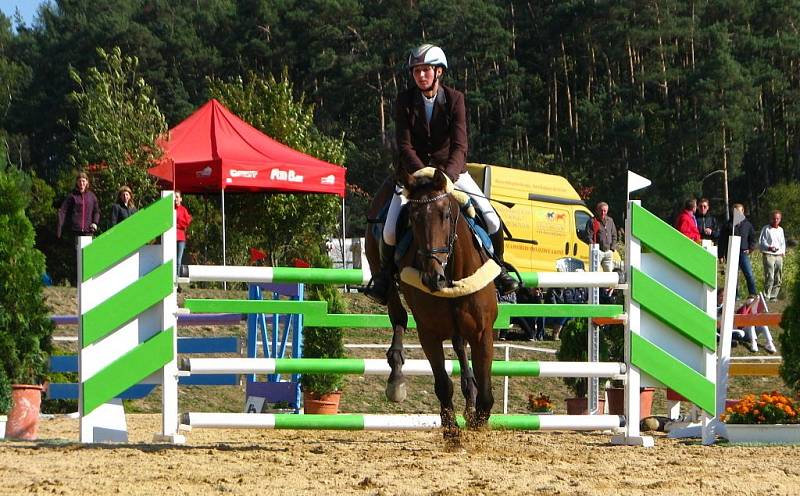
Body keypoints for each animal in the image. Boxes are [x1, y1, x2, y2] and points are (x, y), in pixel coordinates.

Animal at [366, 168, 496, 438]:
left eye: (446, 214)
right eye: (412, 219)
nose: (431, 278)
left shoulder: (482, 332)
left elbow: (487, 396)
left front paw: (476, 425)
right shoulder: (429, 334)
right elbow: (443, 385)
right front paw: (452, 434)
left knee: (459, 346)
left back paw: (469, 394)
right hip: (383, 275)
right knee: (398, 317)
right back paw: (396, 379)